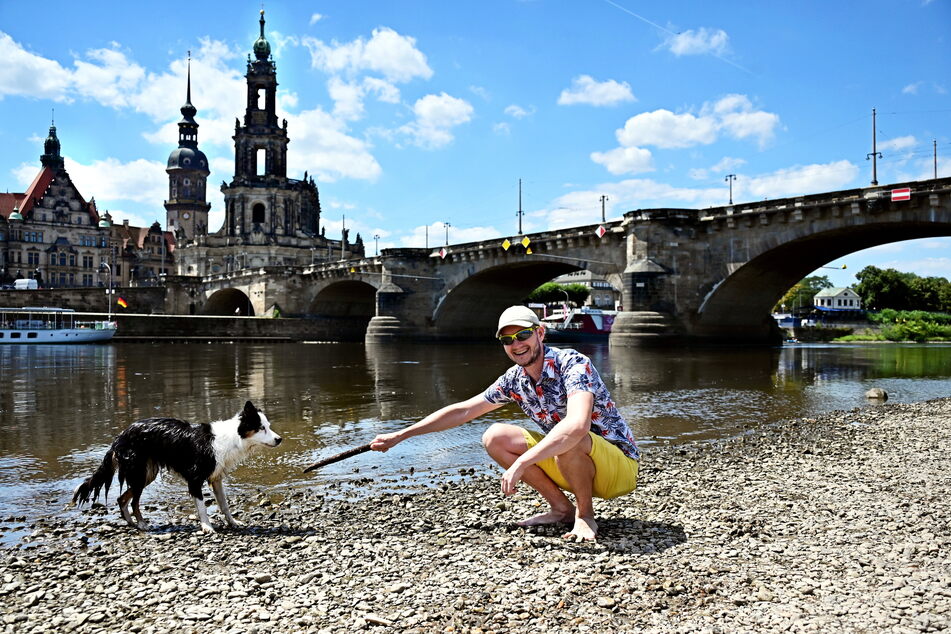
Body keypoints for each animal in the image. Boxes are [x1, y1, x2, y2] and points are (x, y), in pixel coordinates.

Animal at [72, 400, 280, 528]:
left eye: (269, 427)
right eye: (261, 428)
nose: (279, 439)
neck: (233, 438)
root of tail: (120, 437)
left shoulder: (216, 478)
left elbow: (224, 504)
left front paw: (233, 523)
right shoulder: (195, 478)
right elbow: (202, 507)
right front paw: (207, 527)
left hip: (147, 474)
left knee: (122, 499)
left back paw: (132, 523)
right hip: (139, 472)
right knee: (134, 502)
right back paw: (142, 524)